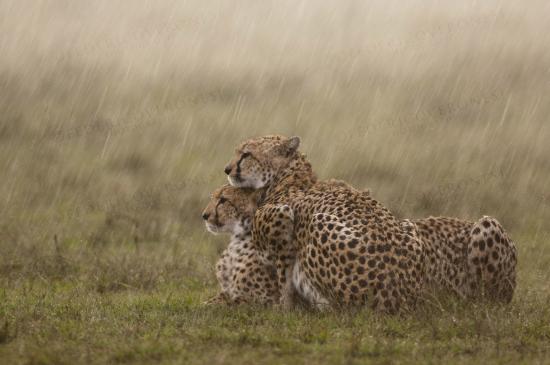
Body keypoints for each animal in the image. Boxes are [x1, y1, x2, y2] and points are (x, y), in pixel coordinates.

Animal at [224, 135, 426, 312]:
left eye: (246, 154)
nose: (227, 169)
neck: (288, 178)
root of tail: (401, 296)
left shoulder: (281, 216)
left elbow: (284, 278)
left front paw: (284, 307)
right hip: (409, 225)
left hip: (318, 222)